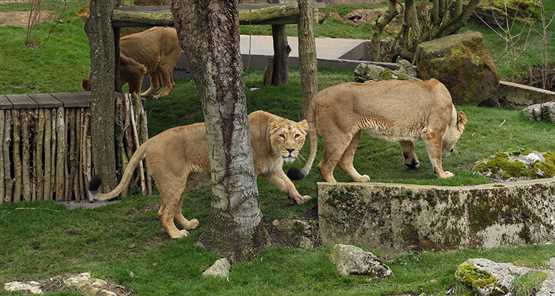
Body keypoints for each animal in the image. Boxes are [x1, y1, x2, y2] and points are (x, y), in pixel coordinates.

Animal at [89, 110, 310, 238]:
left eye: (297, 136)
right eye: (282, 136)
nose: (291, 150)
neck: (271, 145)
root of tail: (150, 140)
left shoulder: (272, 169)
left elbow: (289, 183)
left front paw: (299, 198)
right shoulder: (255, 171)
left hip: (182, 182)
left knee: (170, 208)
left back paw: (189, 224)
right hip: (173, 181)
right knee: (164, 213)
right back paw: (177, 234)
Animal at [292, 79, 470, 183]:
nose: (453, 150)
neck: (451, 113)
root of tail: (317, 96)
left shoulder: (403, 127)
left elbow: (407, 145)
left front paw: (412, 163)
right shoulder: (433, 132)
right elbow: (436, 157)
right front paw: (442, 174)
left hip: (354, 134)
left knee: (344, 161)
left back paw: (360, 179)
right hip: (339, 135)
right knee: (324, 166)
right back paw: (335, 186)